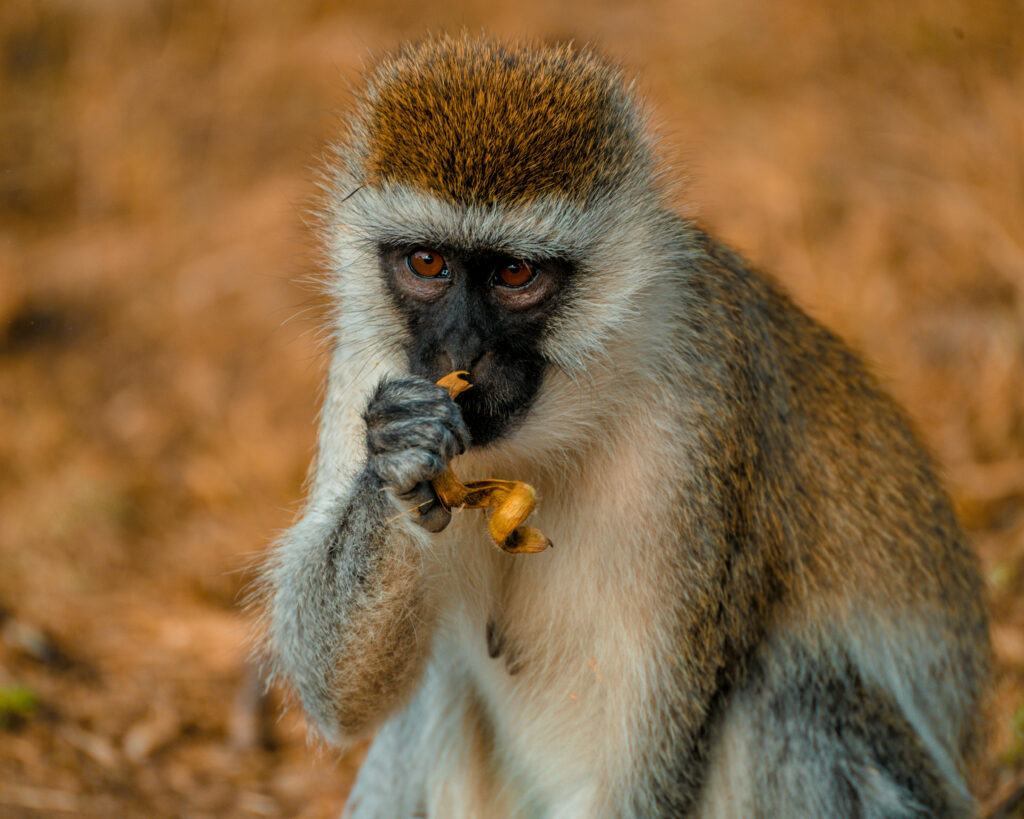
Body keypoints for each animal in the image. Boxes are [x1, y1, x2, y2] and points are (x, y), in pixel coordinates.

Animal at [260, 35, 990, 818]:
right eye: (427, 261)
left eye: (515, 274)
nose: (458, 354)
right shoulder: (367, 363)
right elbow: (338, 692)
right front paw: (402, 451)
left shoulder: (699, 418)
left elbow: (654, 754)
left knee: (794, 684)